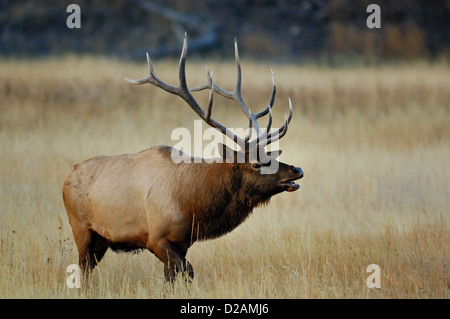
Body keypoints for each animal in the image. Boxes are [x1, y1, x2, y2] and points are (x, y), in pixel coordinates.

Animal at [62, 34, 302, 282]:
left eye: (269, 155)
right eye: (255, 163)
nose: (296, 170)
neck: (193, 203)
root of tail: (68, 175)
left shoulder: (183, 242)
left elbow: (171, 278)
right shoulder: (156, 239)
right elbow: (189, 272)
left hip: (101, 240)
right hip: (81, 227)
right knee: (83, 269)